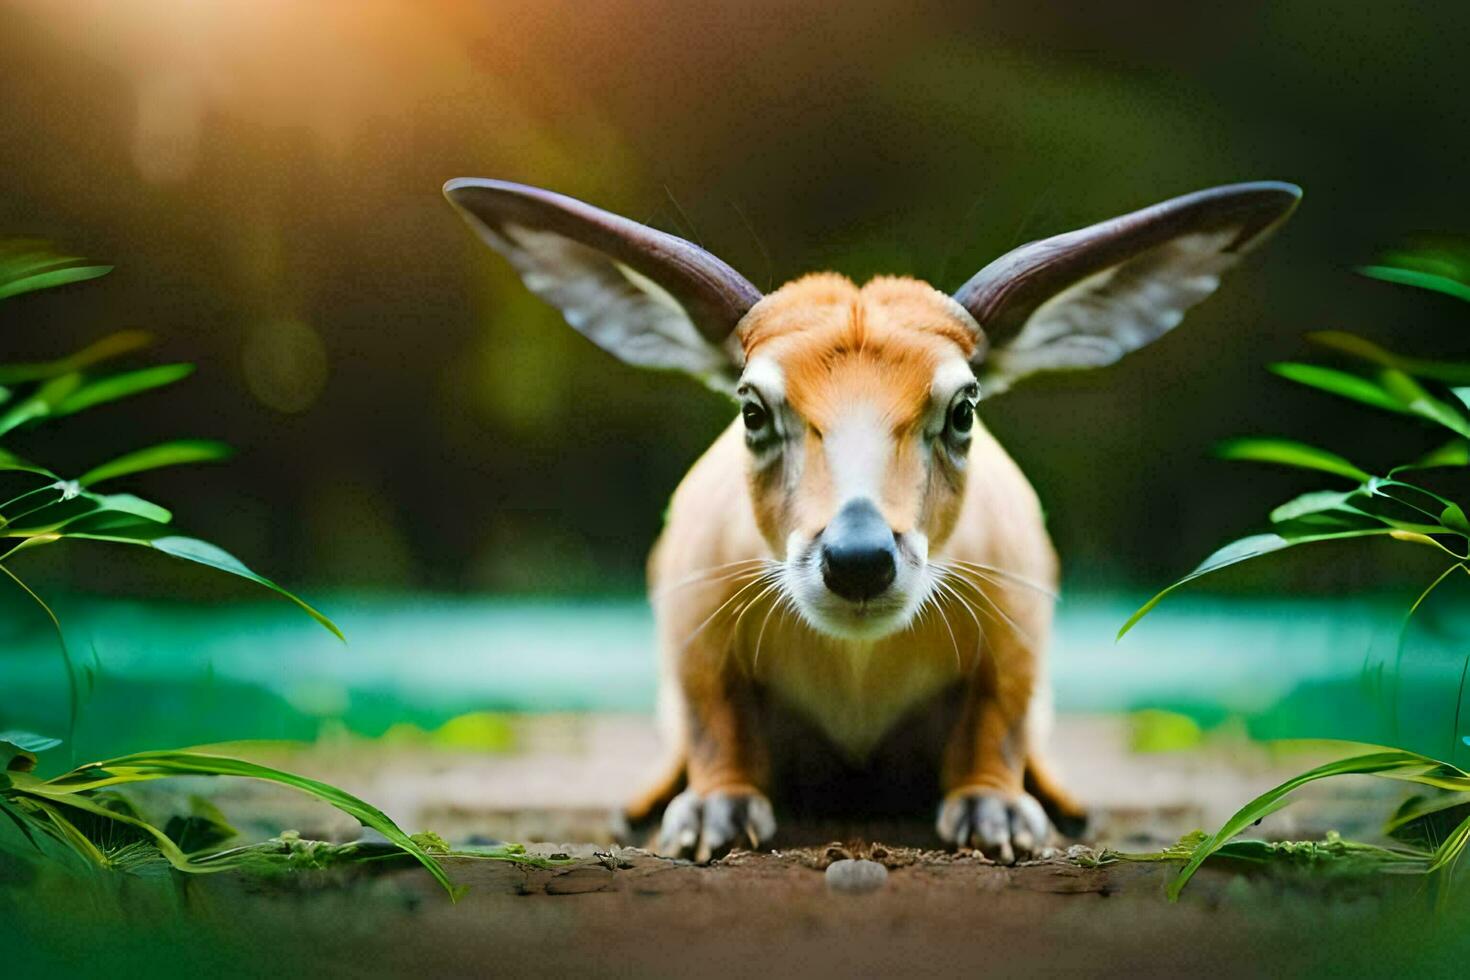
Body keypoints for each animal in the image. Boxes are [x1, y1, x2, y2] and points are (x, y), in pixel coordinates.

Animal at [443, 179, 1299, 863]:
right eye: (753, 410)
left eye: (963, 409)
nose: (857, 559)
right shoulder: (694, 632)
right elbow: (714, 715)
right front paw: (714, 813)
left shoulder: (1019, 632)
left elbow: (999, 716)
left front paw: (996, 813)